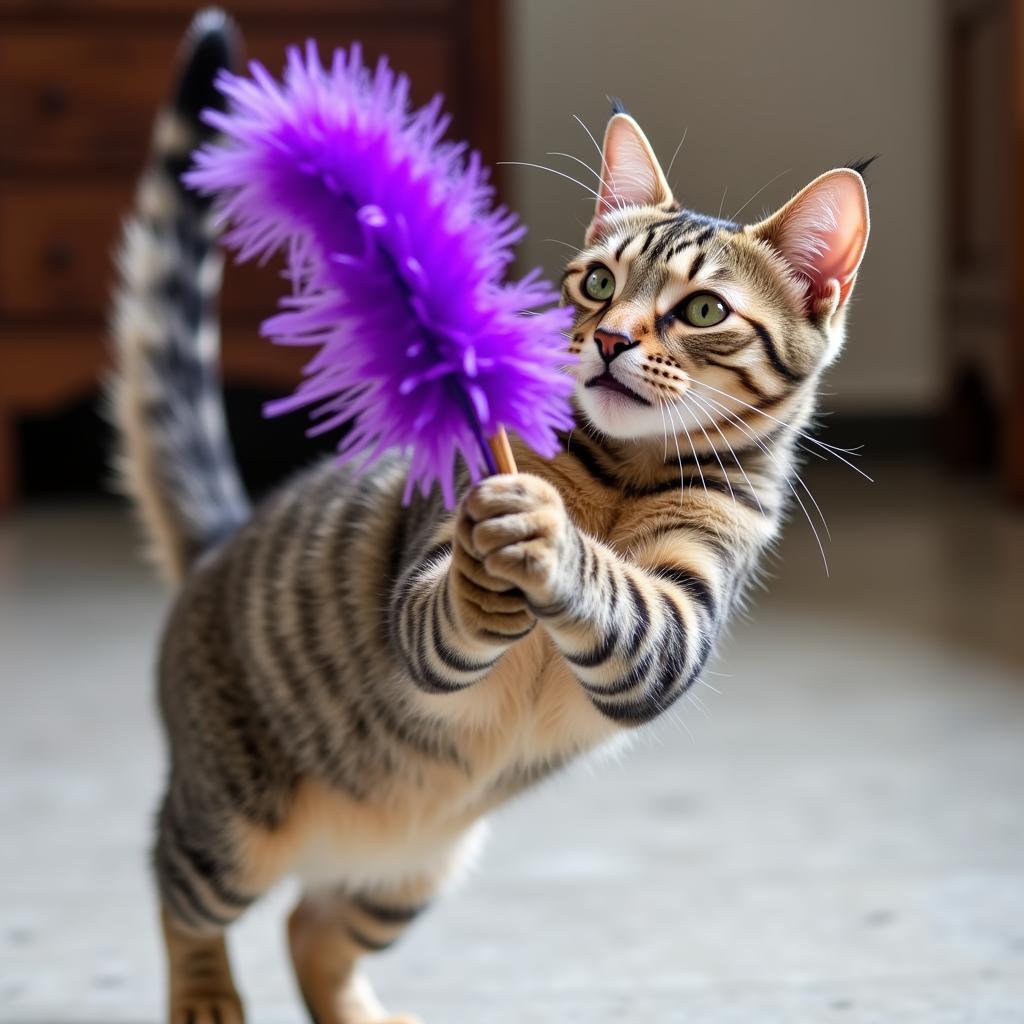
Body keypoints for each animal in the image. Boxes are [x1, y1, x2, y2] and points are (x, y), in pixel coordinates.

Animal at [114, 9, 872, 1024]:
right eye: (598, 285)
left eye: (704, 309)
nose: (610, 339)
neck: (620, 475)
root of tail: (218, 544)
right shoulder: (427, 580)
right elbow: (443, 604)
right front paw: (497, 547)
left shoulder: (679, 619)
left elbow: (621, 595)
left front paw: (545, 536)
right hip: (233, 823)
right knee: (175, 883)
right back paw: (204, 998)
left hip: (411, 875)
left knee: (312, 929)